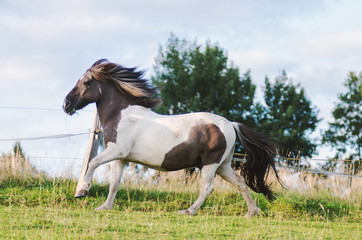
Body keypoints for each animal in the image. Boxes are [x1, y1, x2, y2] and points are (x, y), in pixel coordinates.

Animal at [62, 59, 282, 217]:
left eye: (86, 82)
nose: (66, 104)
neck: (123, 115)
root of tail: (230, 125)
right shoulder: (121, 158)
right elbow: (115, 183)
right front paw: (104, 207)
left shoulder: (117, 150)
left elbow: (93, 163)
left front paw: (81, 191)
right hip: (223, 165)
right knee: (240, 182)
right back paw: (252, 212)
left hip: (210, 164)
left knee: (207, 188)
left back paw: (188, 211)